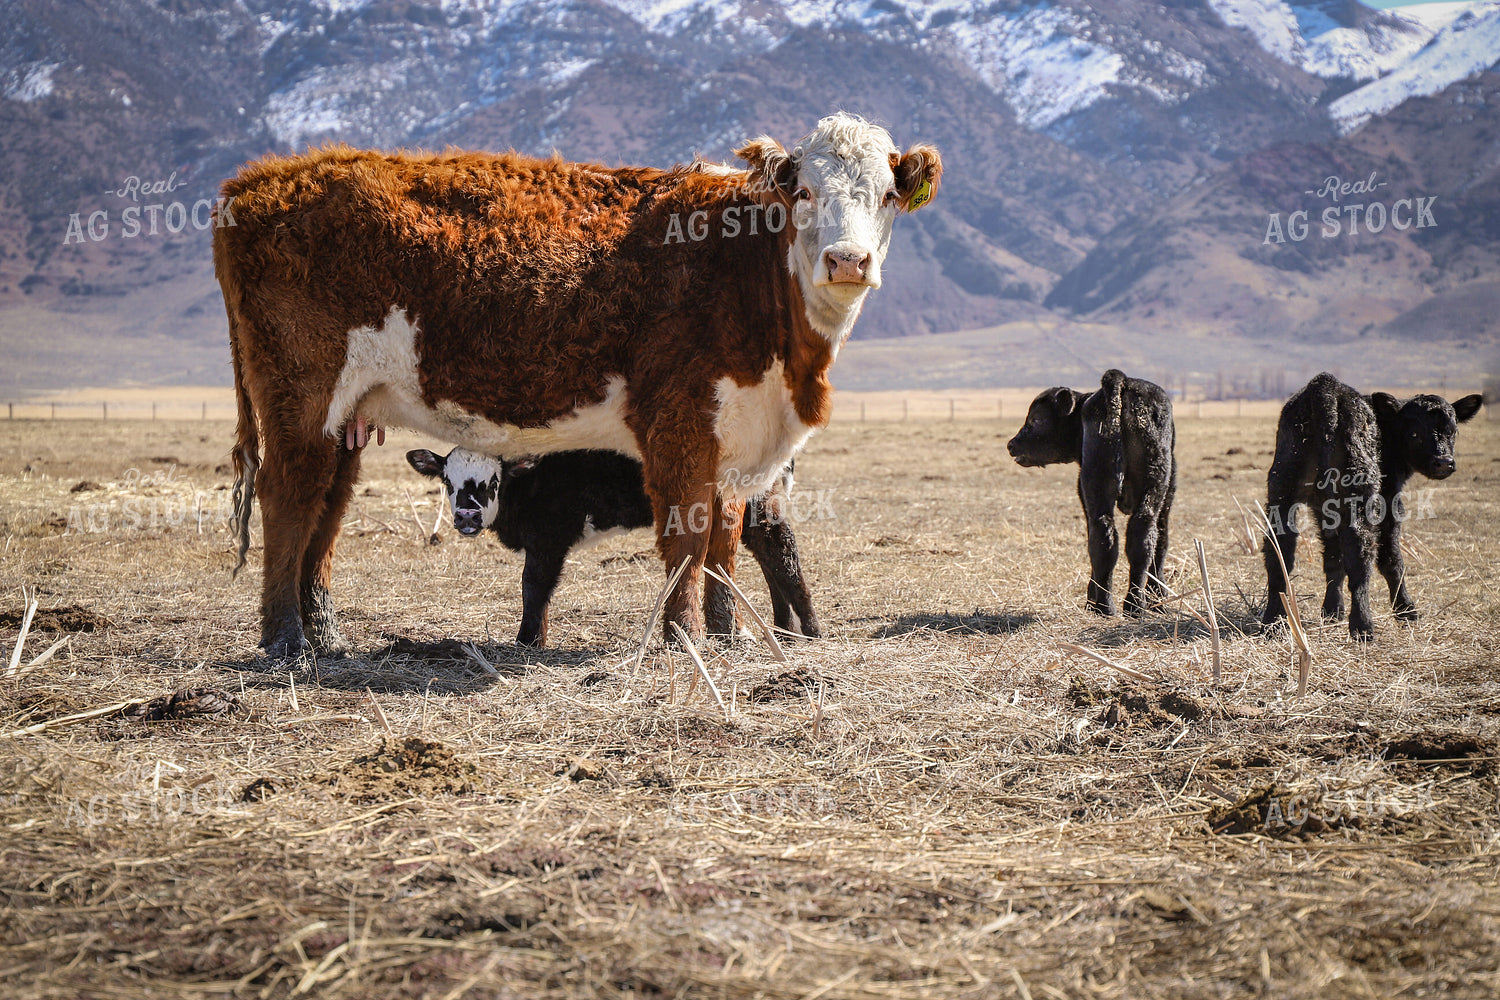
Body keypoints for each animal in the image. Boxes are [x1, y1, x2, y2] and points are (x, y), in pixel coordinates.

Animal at [406, 446, 821, 646]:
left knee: (780, 548)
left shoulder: (549, 536)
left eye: (493, 481)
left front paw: (527, 640)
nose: (467, 516)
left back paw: (810, 630)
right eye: (447, 480)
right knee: (766, 555)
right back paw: (783, 628)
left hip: (756, 502)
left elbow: (534, 587)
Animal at [1006, 370, 1177, 617]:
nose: (1012, 444)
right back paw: (1118, 605)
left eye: (1036, 420)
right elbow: (1161, 543)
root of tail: (1122, 381)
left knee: (1114, 537)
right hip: (1137, 487)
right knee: (1126, 538)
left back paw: (1116, 605)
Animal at [1262, 373, 1482, 638]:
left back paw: (1273, 621)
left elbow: (1333, 557)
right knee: (1361, 556)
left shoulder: (1325, 509)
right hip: (1359, 496)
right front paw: (1406, 611)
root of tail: (1325, 385)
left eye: (1453, 431)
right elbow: (1391, 560)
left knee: (1278, 552)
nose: (1443, 462)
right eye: (1414, 434)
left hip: (1282, 489)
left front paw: (1332, 610)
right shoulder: (1389, 501)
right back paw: (1363, 625)